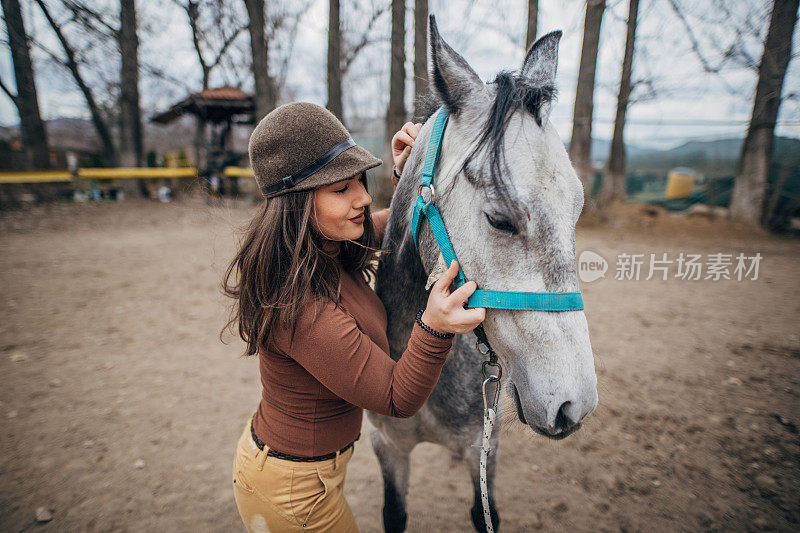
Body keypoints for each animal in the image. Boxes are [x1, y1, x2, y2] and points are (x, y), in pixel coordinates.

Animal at [366, 14, 596, 528]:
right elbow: (394, 514)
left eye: (576, 209)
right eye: (499, 219)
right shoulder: (388, 448)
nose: (574, 404)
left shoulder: (481, 449)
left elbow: (483, 512)